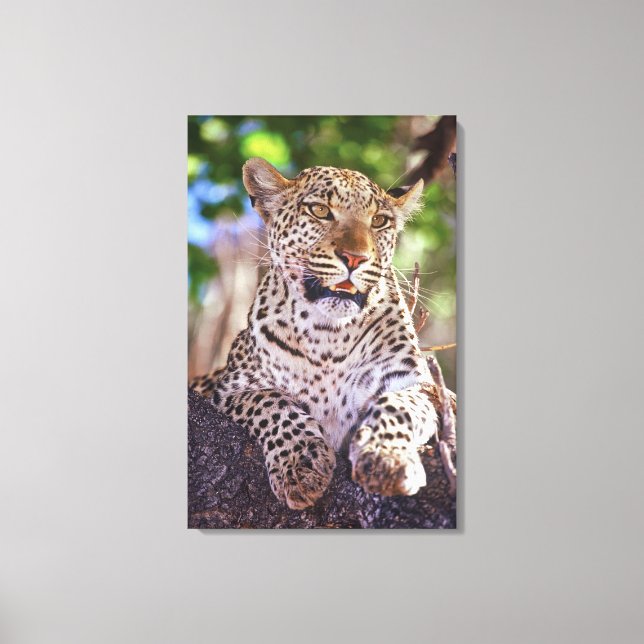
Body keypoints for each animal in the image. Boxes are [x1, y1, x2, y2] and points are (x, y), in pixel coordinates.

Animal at [190, 157, 448, 510]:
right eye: (320, 211)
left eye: (379, 221)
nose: (355, 258)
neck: (330, 335)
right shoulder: (232, 389)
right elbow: (273, 405)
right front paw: (300, 465)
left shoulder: (420, 385)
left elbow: (398, 406)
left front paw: (385, 459)